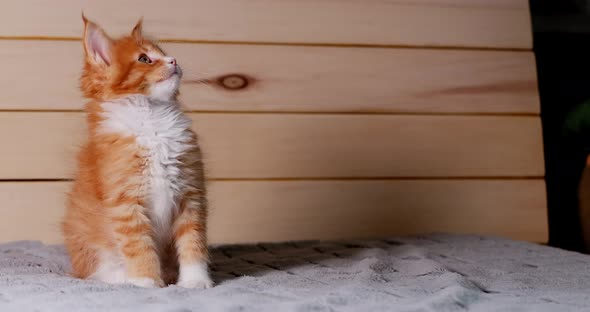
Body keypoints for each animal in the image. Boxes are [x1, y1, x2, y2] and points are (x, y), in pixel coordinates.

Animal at [61, 16, 213, 290]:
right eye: (145, 59)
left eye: (163, 53)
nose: (174, 60)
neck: (152, 121)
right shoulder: (125, 203)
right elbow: (139, 247)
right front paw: (146, 281)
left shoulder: (191, 194)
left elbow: (193, 243)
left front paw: (195, 280)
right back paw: (122, 277)